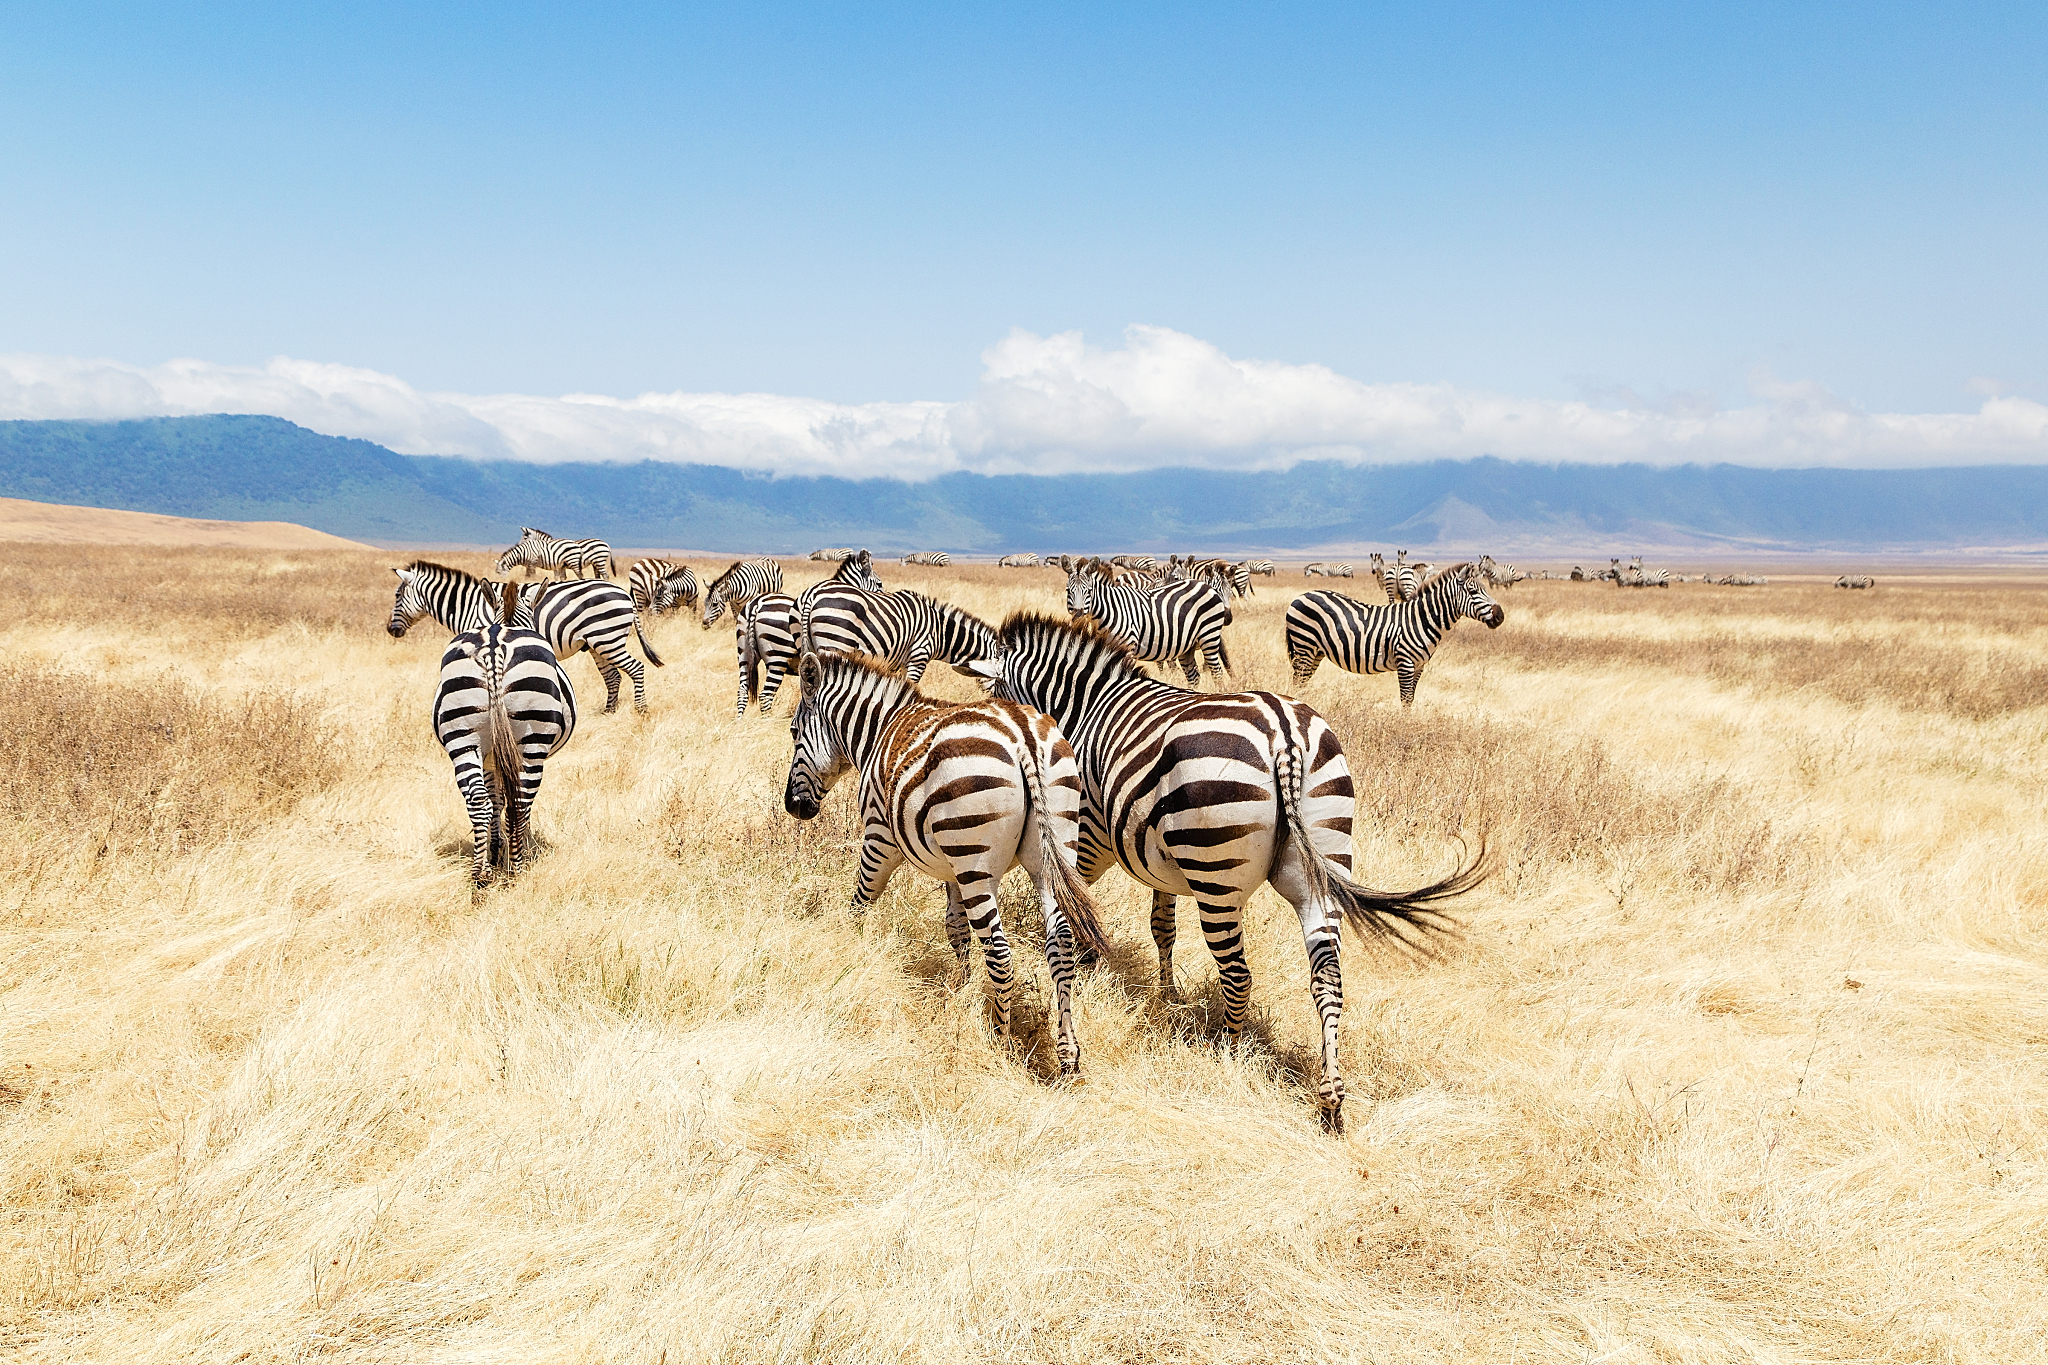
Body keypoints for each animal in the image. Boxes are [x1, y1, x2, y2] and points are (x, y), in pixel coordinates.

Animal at [433, 612, 576, 896]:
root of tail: (493, 642)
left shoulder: (490, 760)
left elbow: (494, 800)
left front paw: (495, 852)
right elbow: (505, 802)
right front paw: (513, 850)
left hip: (462, 738)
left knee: (478, 801)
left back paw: (480, 876)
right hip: (532, 741)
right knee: (519, 804)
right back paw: (516, 869)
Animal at [782, 651, 1107, 1074]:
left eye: (793, 732)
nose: (793, 807)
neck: (877, 732)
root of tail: (1023, 735)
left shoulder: (880, 837)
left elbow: (861, 901)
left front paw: (848, 952)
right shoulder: (950, 865)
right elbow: (956, 929)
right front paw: (962, 986)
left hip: (976, 864)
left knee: (1000, 953)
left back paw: (999, 1040)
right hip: (1053, 849)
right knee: (1061, 943)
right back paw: (1067, 1052)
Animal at [962, 614, 1489, 1131]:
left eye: (991, 695)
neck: (1088, 706)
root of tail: (1285, 734)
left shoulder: (1090, 834)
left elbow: (1079, 909)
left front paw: (1100, 970)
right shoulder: (1157, 859)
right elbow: (1162, 927)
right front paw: (1167, 996)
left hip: (1214, 872)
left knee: (1237, 975)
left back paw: (1228, 1054)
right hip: (1322, 859)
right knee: (1328, 978)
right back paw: (1331, 1099)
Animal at [1064, 566, 1232, 686]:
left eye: (1088, 591)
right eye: (1068, 591)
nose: (1077, 617)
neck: (1110, 609)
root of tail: (1206, 586)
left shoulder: (1128, 647)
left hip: (1209, 636)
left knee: (1217, 672)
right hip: (1187, 646)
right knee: (1194, 676)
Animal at [1285, 564, 1506, 706]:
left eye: (1484, 589)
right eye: (1473, 592)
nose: (1500, 616)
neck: (1421, 619)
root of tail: (1301, 596)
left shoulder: (1419, 666)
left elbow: (1411, 699)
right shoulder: (1405, 662)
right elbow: (1405, 698)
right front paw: (1404, 726)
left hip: (1316, 651)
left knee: (1302, 682)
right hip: (1304, 645)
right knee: (1297, 680)